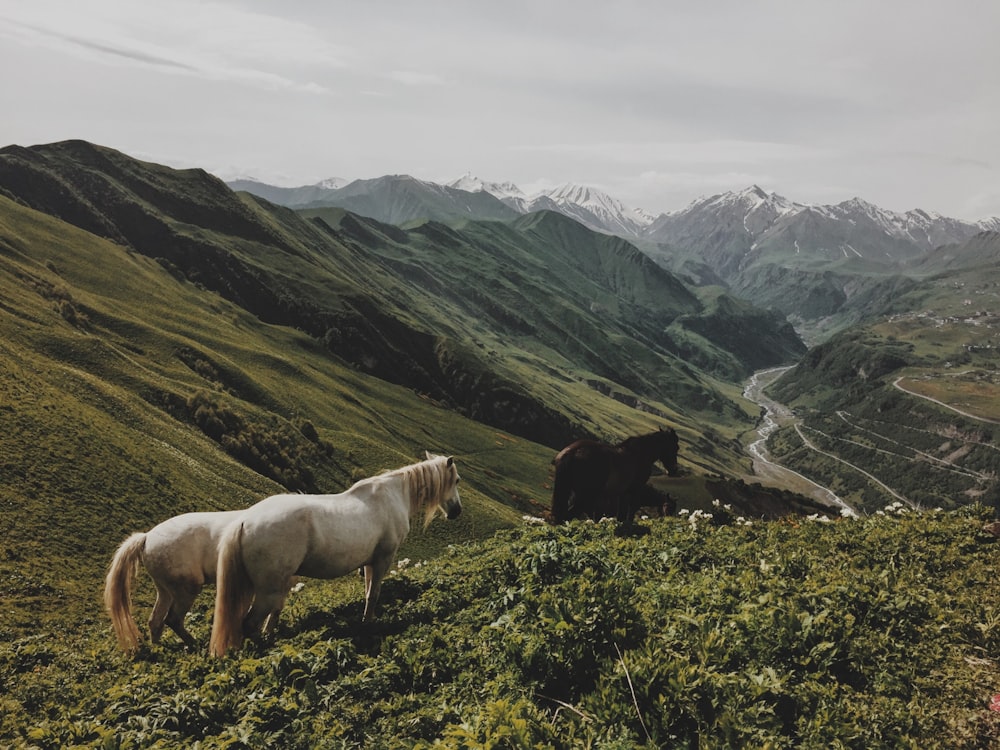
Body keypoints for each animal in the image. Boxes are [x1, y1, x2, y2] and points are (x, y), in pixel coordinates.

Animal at [104, 508, 246, 656]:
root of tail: (146, 537)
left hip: (165, 591)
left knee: (155, 620)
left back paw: (158, 648)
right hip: (188, 589)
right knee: (173, 619)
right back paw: (195, 645)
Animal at [213, 452, 462, 656]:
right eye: (457, 480)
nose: (456, 511)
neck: (395, 494)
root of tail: (245, 522)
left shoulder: (369, 562)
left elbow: (368, 593)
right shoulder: (384, 558)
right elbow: (374, 594)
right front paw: (368, 624)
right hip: (268, 589)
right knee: (250, 624)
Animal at [548, 426, 680, 524]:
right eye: (676, 447)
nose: (674, 470)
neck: (640, 455)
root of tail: (572, 452)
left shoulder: (622, 494)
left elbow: (621, 515)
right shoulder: (634, 491)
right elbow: (628, 514)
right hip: (586, 496)